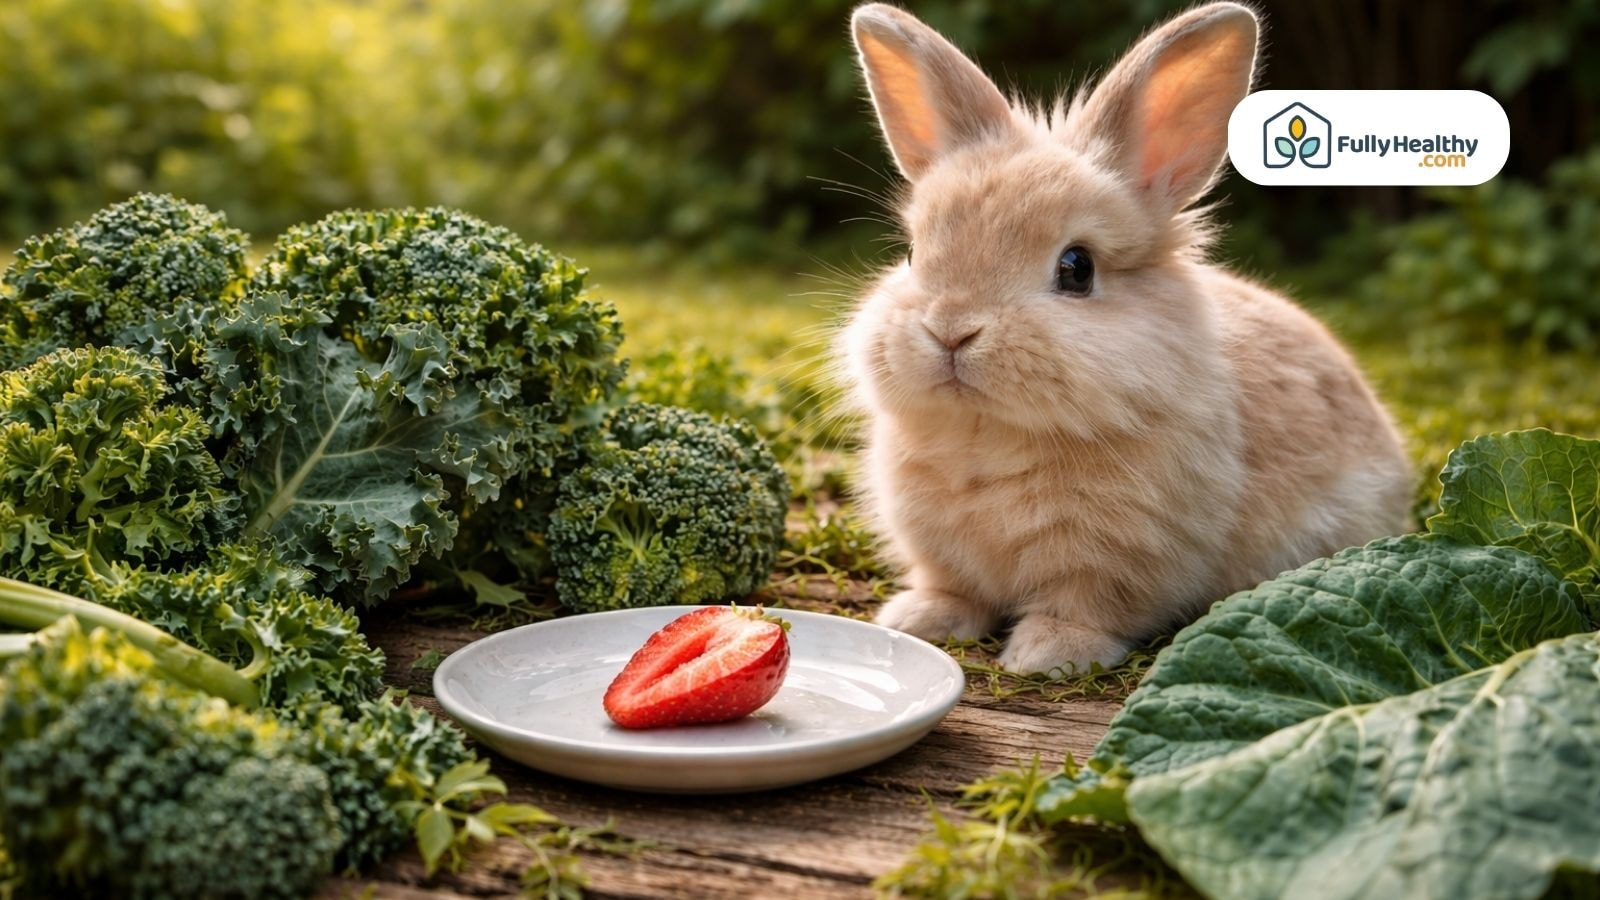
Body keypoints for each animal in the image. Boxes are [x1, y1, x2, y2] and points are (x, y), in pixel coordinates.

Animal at [839, 1, 1414, 674]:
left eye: (1077, 268)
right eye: (910, 255)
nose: (951, 331)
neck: (990, 435)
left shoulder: (1115, 558)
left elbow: (1085, 607)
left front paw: (1048, 654)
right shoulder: (938, 546)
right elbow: (953, 587)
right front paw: (921, 620)